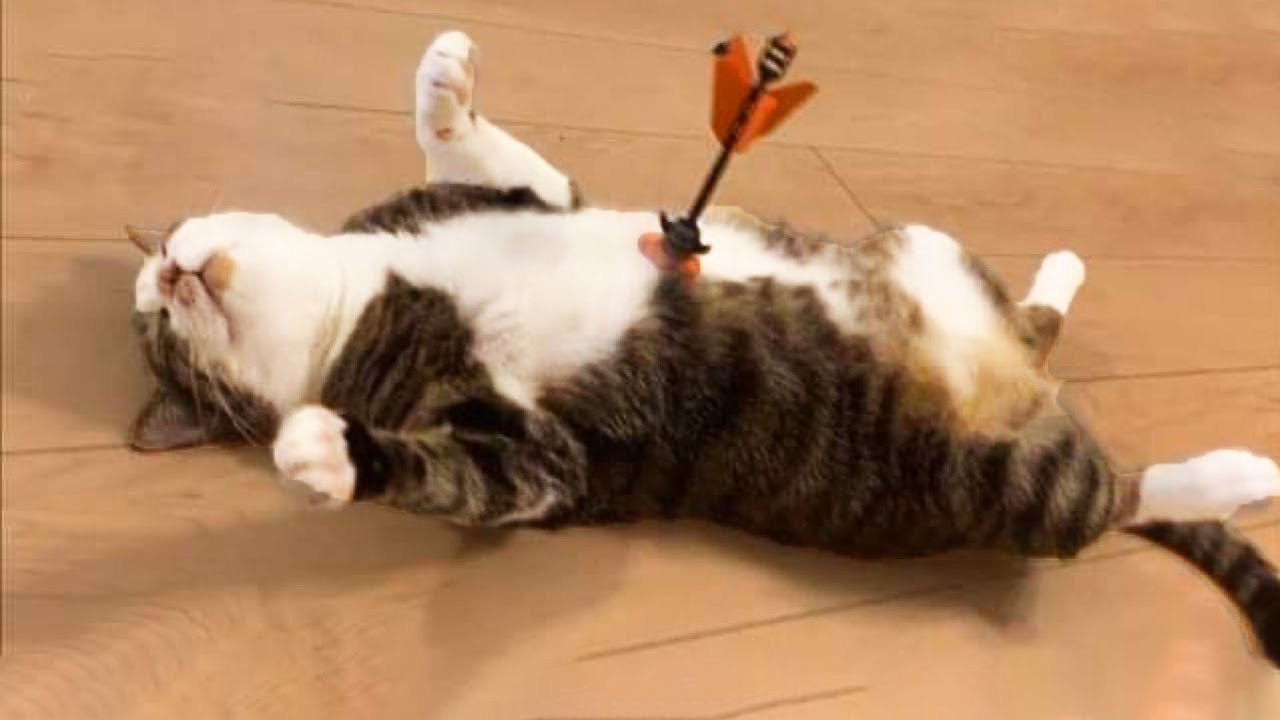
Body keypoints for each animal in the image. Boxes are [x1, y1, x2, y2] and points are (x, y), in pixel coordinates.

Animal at [127, 30, 1280, 664]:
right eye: (164, 339)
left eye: (157, 275)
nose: (171, 271)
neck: (355, 290)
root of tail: (1021, 386)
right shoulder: (542, 459)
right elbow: (470, 471)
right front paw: (326, 452)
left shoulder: (512, 198)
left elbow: (480, 149)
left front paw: (446, 72)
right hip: (1012, 485)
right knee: (1111, 496)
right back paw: (1240, 475)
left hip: (930, 245)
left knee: (1037, 330)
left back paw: (1061, 274)